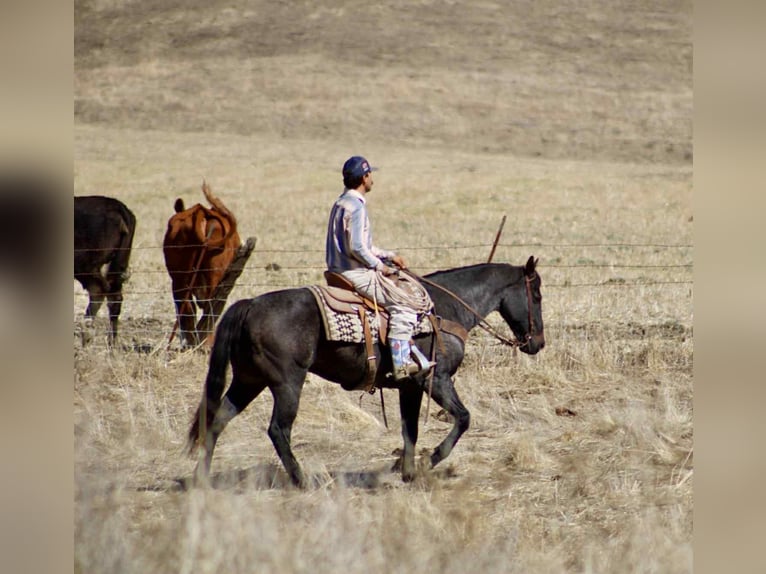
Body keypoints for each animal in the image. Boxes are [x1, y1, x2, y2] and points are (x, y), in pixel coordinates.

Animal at [187, 256, 545, 487]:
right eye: (538, 295)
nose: (537, 343)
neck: (445, 309)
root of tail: (250, 305)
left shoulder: (409, 387)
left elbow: (410, 429)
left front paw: (406, 469)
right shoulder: (435, 379)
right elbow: (463, 418)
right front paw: (427, 463)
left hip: (248, 380)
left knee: (217, 419)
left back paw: (202, 478)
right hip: (287, 383)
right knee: (278, 429)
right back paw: (301, 480)